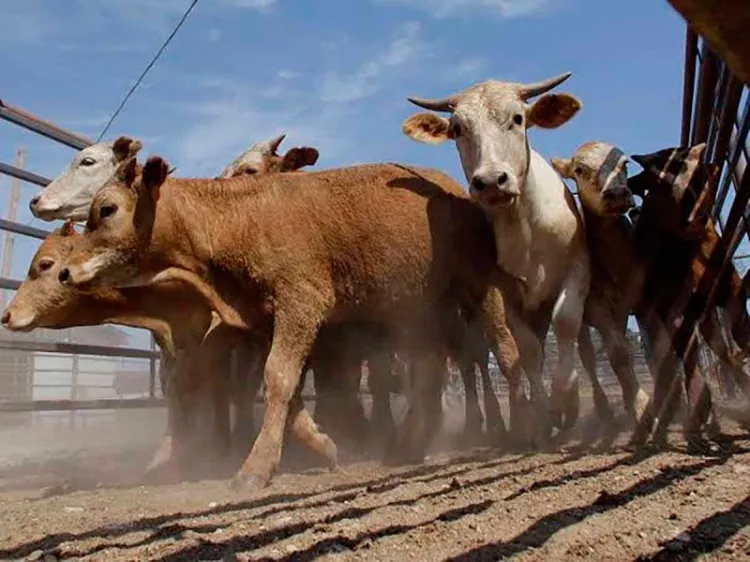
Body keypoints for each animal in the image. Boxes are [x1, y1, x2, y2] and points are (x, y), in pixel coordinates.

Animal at [58, 154, 524, 486]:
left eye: (107, 209)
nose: (65, 271)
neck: (242, 220)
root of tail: (454, 188)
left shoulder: (302, 303)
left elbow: (279, 378)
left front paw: (255, 468)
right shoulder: (267, 320)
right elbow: (289, 388)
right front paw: (325, 445)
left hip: (479, 285)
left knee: (501, 348)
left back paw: (521, 426)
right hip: (423, 307)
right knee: (430, 367)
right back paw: (409, 444)